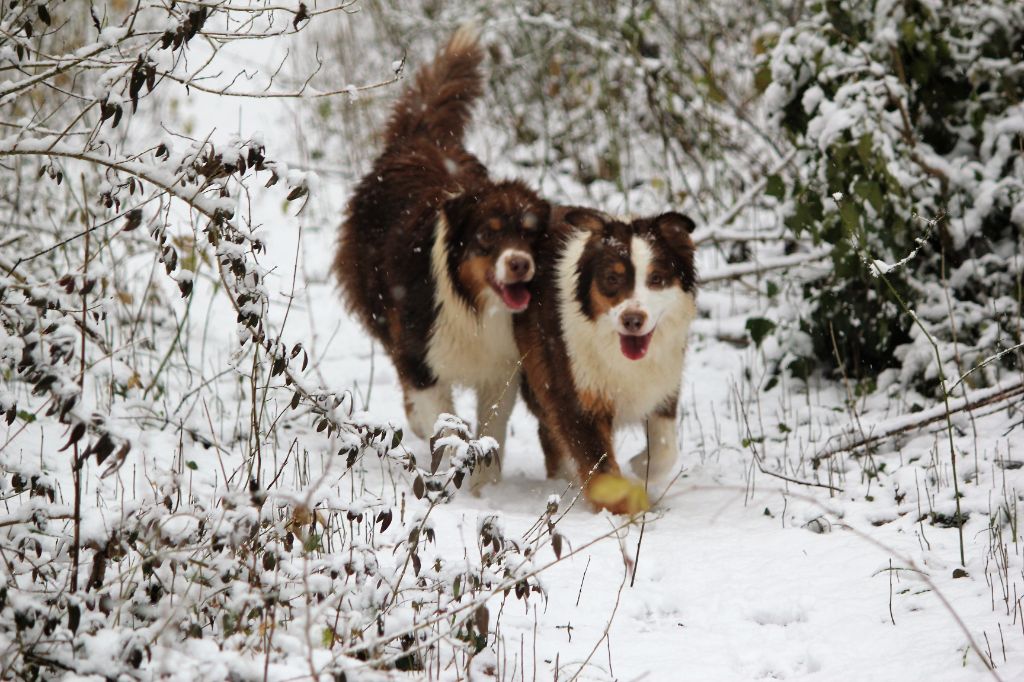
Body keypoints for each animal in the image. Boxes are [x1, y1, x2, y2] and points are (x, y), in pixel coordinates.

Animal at [335, 27, 548, 489]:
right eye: (487, 235)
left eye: (528, 233)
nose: (519, 264)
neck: (474, 305)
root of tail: (419, 138)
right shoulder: (422, 354)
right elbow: (445, 427)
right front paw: (453, 474)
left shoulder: (501, 366)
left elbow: (489, 432)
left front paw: (484, 486)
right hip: (381, 305)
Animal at [516, 206, 700, 509]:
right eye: (612, 279)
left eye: (656, 279)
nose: (632, 320)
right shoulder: (579, 396)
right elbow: (602, 471)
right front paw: (625, 512)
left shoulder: (663, 382)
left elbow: (665, 449)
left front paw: (640, 465)